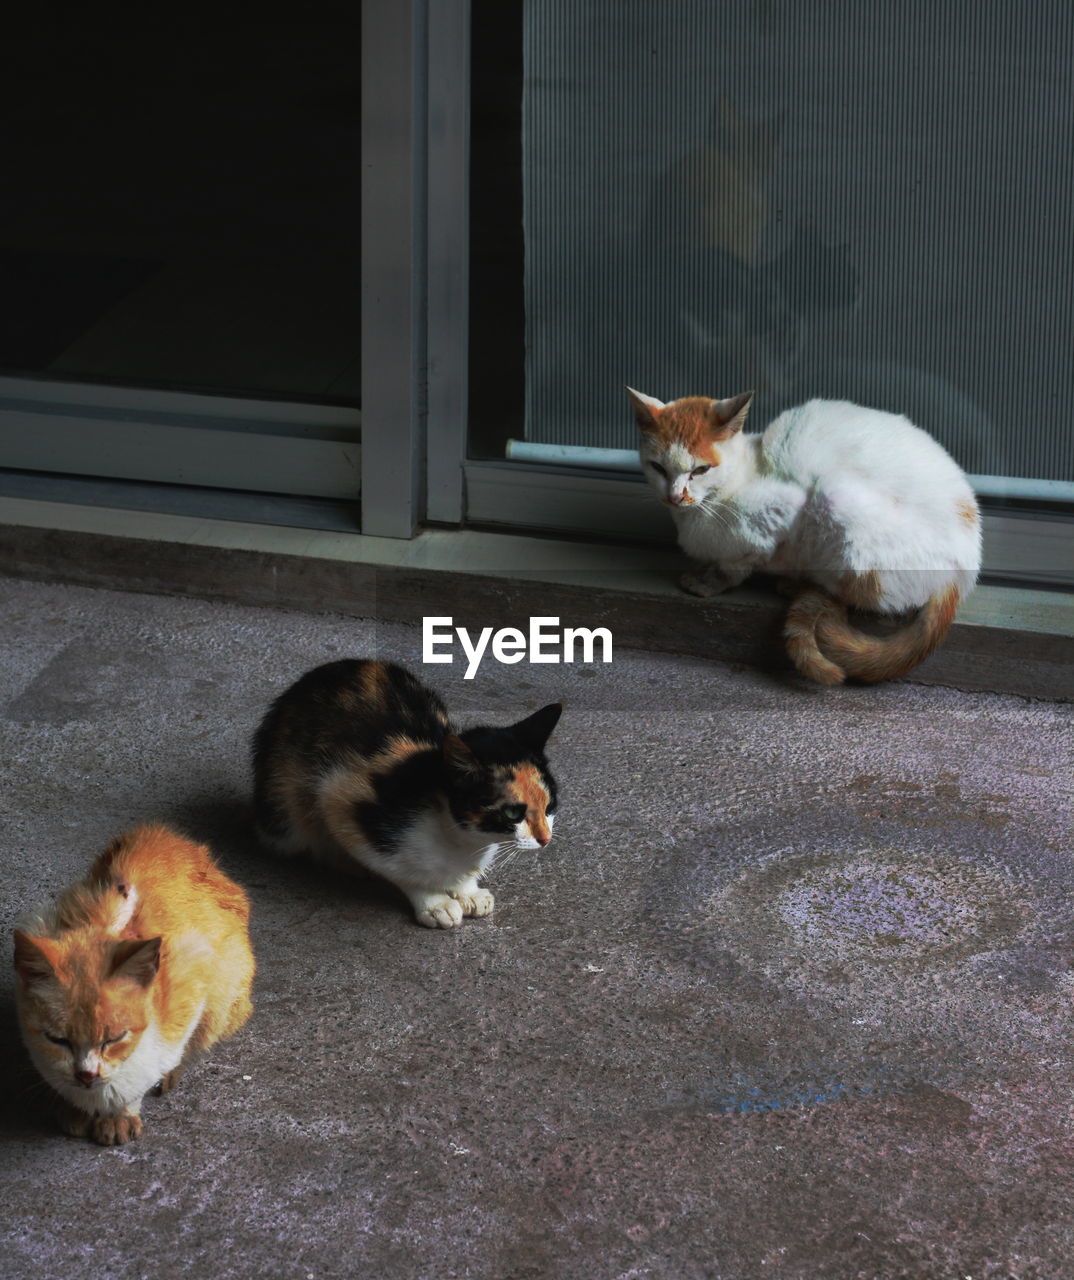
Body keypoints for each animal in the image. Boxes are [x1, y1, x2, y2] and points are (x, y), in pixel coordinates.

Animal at [14, 824, 254, 1146]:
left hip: (225, 994)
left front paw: (119, 1116)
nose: (86, 1076)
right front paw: (79, 1110)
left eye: (114, 1039)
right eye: (57, 1039)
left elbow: (143, 1073)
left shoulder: (192, 983)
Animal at [253, 665, 563, 926]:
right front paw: (435, 903)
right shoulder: (340, 800)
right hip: (285, 806)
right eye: (512, 813)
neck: (461, 840)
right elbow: (399, 868)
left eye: (550, 804)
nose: (545, 839)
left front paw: (468, 892)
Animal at [629, 389, 983, 686]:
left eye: (700, 470)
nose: (675, 496)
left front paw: (709, 582)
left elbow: (738, 564)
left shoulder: (784, 511)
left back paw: (798, 584)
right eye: (658, 468)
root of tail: (964, 574)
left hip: (835, 496)